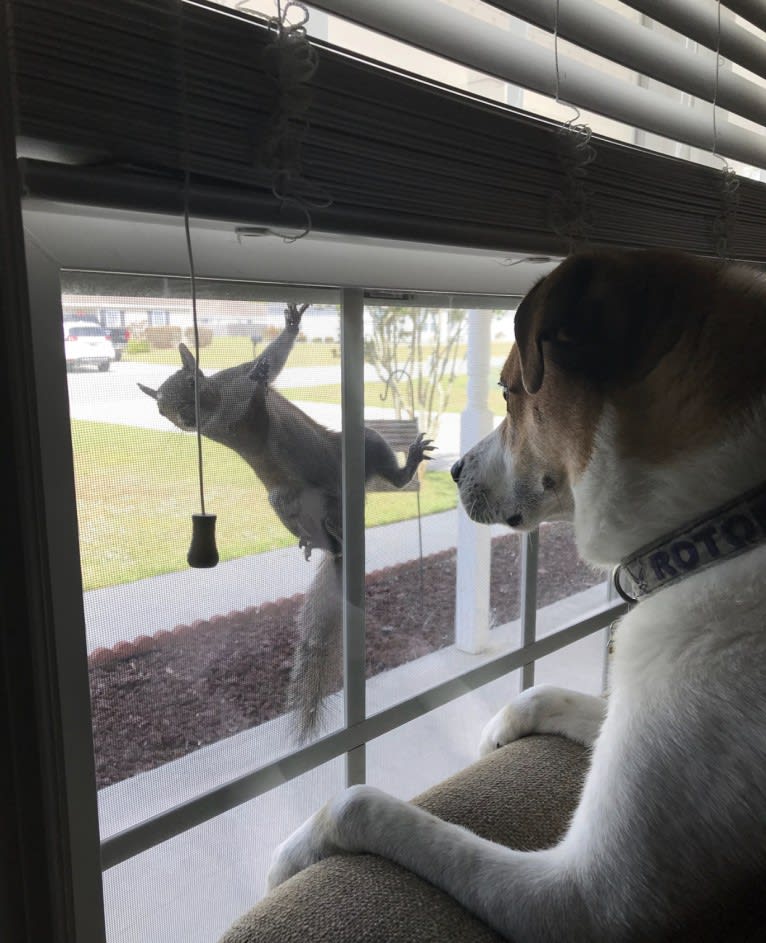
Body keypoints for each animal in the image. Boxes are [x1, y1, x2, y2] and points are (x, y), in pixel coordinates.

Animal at [140, 306, 436, 740]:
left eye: (191, 383)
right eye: (161, 410)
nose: (185, 418)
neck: (218, 404)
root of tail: (340, 500)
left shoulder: (234, 384)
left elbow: (266, 367)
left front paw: (285, 334)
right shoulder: (232, 421)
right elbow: (257, 403)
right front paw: (264, 375)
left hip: (358, 449)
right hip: (287, 496)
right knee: (323, 515)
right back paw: (323, 536)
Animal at [268, 247, 766, 940]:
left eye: (506, 391)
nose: (451, 470)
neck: (721, 530)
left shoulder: (583, 903)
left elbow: (358, 804)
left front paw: (294, 851)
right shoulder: (626, 719)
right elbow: (543, 691)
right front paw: (497, 732)